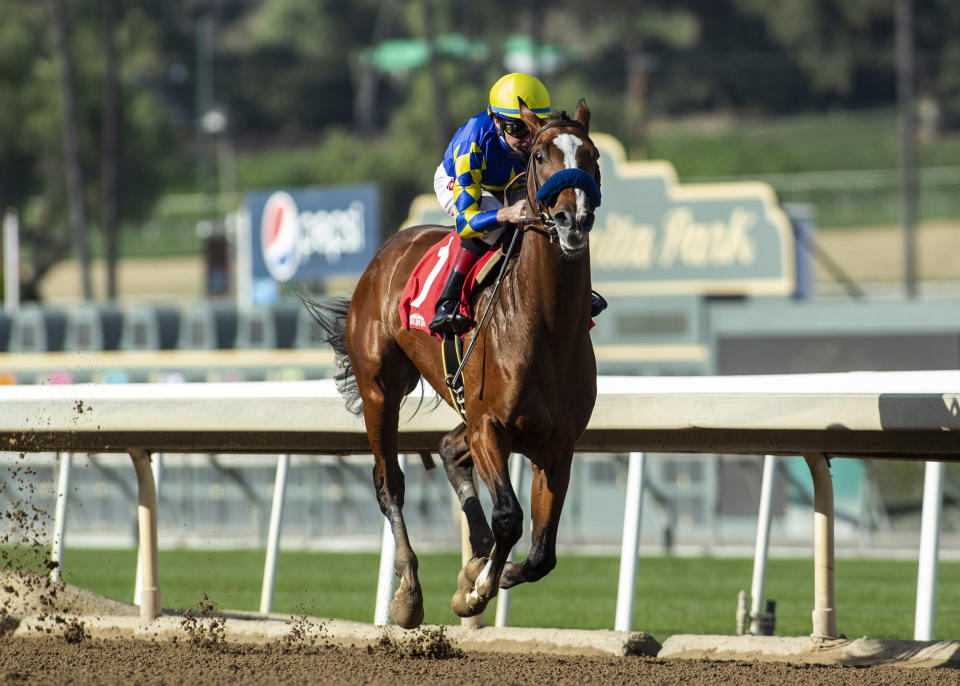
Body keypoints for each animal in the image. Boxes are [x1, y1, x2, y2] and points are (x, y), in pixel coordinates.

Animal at [306, 98, 600, 628]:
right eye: (540, 156)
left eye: (592, 155)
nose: (573, 220)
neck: (546, 325)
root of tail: (385, 253)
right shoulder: (491, 428)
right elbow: (509, 517)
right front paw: (477, 589)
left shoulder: (558, 444)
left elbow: (542, 553)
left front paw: (484, 574)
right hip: (381, 390)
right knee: (390, 485)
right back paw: (408, 592)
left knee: (447, 448)